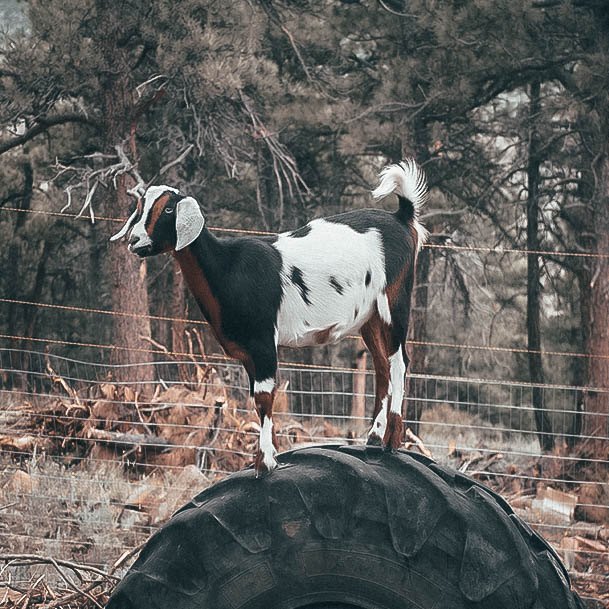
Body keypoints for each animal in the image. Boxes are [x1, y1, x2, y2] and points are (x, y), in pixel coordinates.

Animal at [111, 160, 430, 476]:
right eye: (140, 207)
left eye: (168, 210)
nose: (134, 240)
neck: (227, 267)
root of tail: (401, 217)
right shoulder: (247, 352)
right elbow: (258, 399)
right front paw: (273, 456)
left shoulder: (262, 341)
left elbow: (264, 398)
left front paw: (264, 464)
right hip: (369, 317)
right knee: (382, 366)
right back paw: (373, 439)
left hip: (394, 300)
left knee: (399, 363)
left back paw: (391, 441)